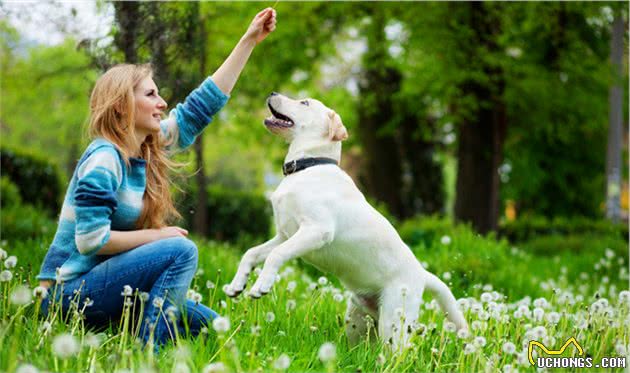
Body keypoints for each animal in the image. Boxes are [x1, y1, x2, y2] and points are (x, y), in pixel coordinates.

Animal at [223, 93, 470, 348]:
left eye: (304, 103)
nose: (272, 94)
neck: (307, 167)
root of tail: (422, 274)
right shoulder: (285, 235)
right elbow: (251, 253)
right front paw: (237, 284)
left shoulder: (316, 231)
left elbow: (276, 254)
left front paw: (261, 285)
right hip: (358, 320)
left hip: (394, 323)